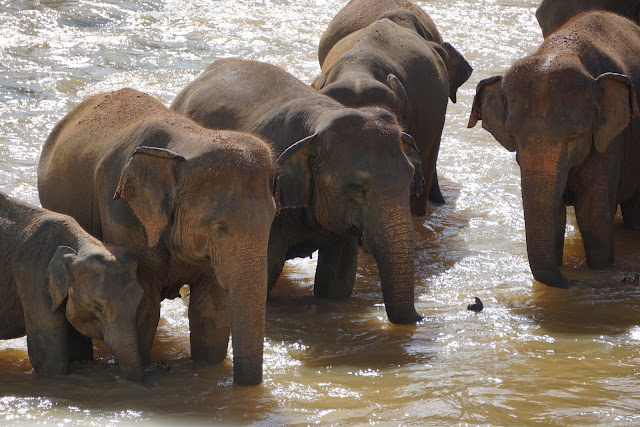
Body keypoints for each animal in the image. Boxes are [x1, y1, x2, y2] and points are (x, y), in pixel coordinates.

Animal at [37, 88, 276, 386]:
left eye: (273, 218)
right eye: (219, 226)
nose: (244, 386)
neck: (189, 141)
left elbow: (210, 310)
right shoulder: (122, 216)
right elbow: (143, 309)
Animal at [171, 56, 424, 324]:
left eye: (410, 179)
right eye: (356, 187)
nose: (420, 317)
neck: (320, 122)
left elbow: (337, 279)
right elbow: (266, 270)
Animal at [468, 11, 640, 290]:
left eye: (574, 137)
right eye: (513, 136)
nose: (573, 281)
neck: (563, 49)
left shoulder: (612, 139)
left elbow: (592, 214)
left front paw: (599, 270)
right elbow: (556, 214)